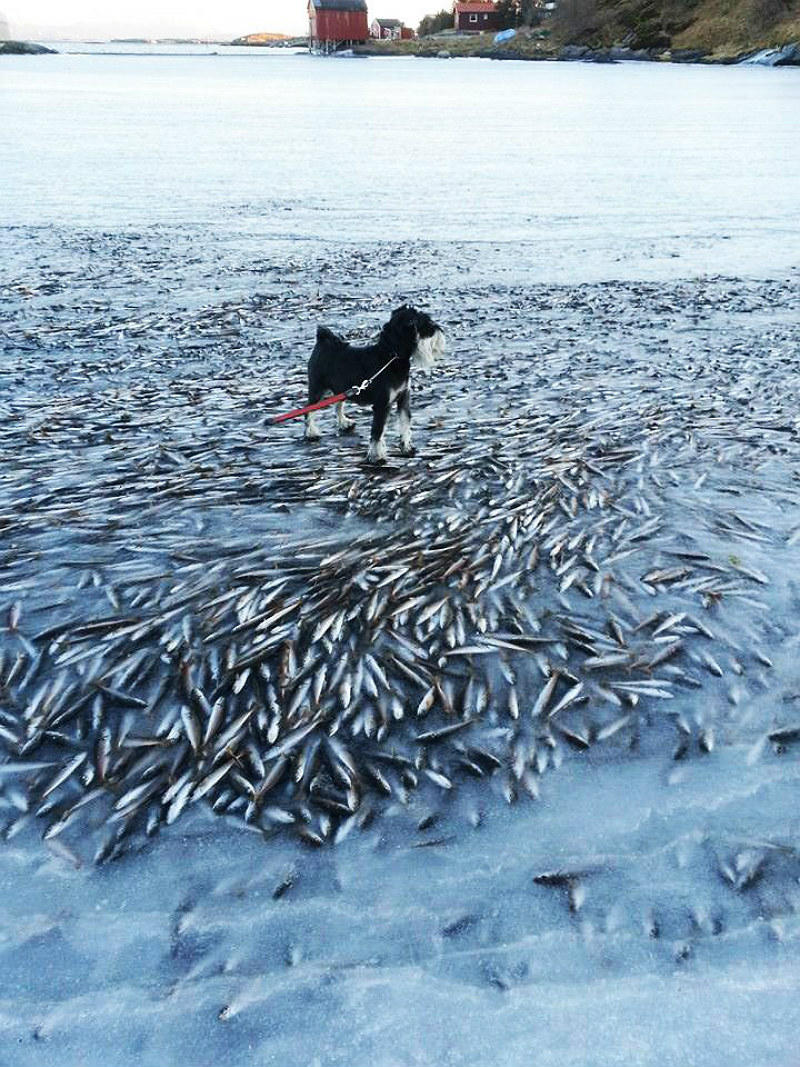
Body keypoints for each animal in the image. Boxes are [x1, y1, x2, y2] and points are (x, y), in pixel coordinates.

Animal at [305, 305, 445, 463]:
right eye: (424, 324)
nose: (438, 330)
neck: (391, 357)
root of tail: (323, 340)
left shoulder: (403, 398)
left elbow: (405, 423)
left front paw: (407, 447)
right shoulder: (382, 405)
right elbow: (378, 431)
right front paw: (376, 455)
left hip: (341, 389)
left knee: (338, 405)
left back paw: (344, 423)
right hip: (317, 389)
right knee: (309, 409)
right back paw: (311, 433)